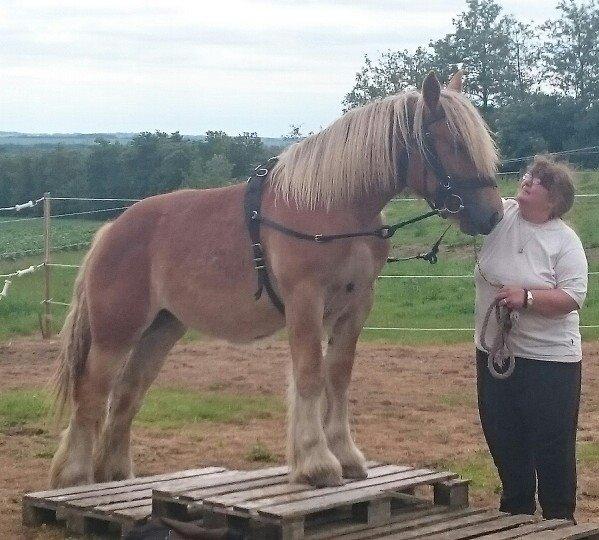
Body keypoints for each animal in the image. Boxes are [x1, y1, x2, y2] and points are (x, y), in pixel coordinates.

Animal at [50, 71, 502, 490]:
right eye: (453, 143)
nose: (493, 215)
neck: (333, 209)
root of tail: (110, 231)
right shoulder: (305, 302)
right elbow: (310, 374)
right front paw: (317, 462)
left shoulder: (356, 306)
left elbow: (338, 375)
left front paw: (345, 456)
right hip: (116, 331)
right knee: (91, 391)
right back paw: (74, 476)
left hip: (161, 329)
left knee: (127, 392)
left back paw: (115, 475)